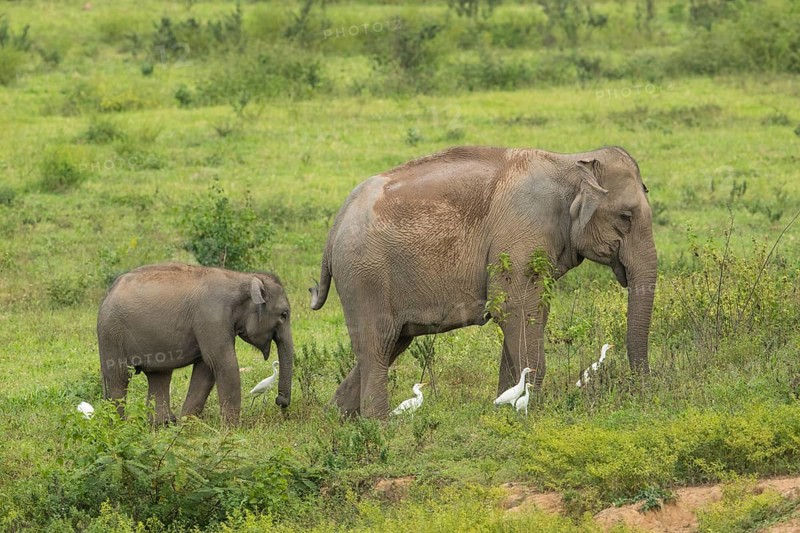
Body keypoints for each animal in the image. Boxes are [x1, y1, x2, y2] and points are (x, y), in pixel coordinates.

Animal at [97, 263, 294, 425]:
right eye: (284, 314)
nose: (280, 401)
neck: (242, 278)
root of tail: (109, 292)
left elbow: (206, 368)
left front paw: (186, 425)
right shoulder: (211, 318)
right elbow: (223, 363)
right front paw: (232, 429)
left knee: (159, 375)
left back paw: (162, 424)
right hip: (111, 333)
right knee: (119, 377)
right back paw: (118, 425)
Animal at [310, 145, 656, 419]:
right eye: (626, 216)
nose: (641, 393)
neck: (572, 162)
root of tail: (336, 223)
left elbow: (524, 314)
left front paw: (503, 405)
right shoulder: (521, 237)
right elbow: (517, 310)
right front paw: (529, 408)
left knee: (390, 344)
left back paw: (333, 419)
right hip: (365, 277)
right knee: (377, 346)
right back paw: (378, 426)